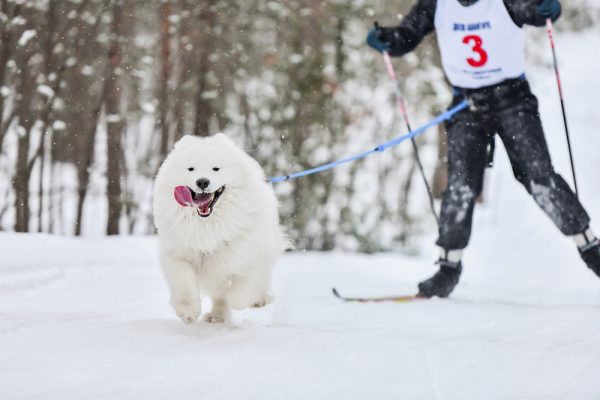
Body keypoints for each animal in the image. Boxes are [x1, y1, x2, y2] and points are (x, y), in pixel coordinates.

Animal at [154, 133, 288, 324]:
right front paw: (187, 310)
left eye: (216, 169)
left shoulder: (252, 256)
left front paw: (251, 300)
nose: (202, 181)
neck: (208, 225)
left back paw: (257, 301)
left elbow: (240, 294)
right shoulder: (178, 254)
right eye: (191, 169)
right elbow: (183, 280)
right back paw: (216, 316)